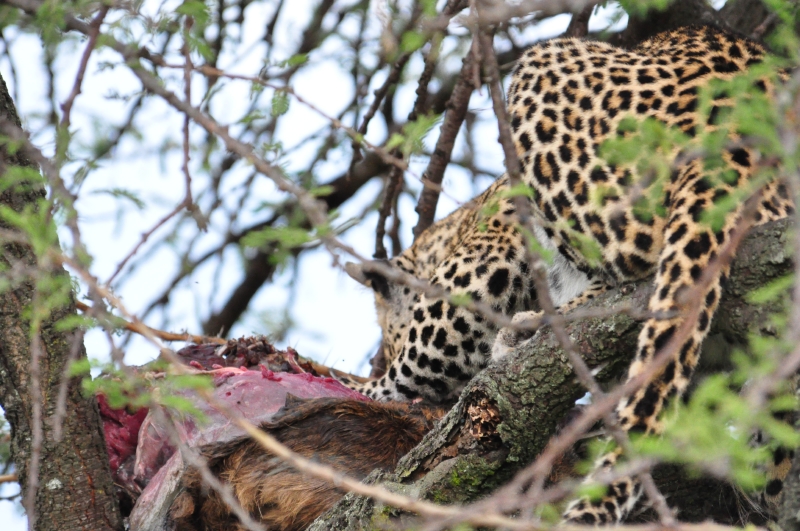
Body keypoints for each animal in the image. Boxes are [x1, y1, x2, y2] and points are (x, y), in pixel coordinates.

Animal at [340, 25, 795, 524]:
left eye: (388, 338)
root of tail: (740, 126)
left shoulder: (477, 272)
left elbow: (403, 374)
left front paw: (347, 382)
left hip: (542, 67)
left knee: (634, 261)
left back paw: (529, 330)